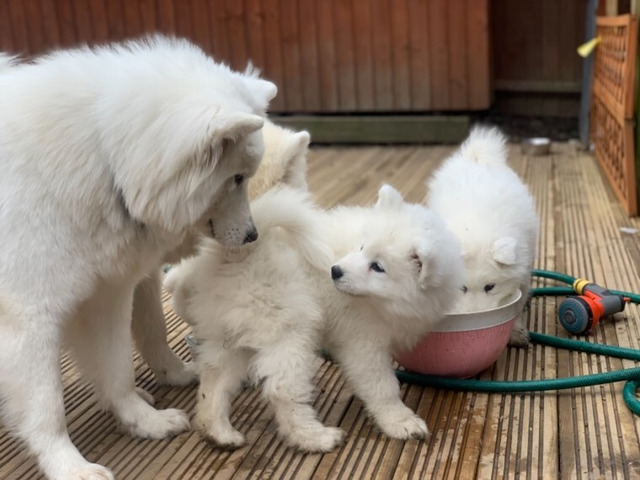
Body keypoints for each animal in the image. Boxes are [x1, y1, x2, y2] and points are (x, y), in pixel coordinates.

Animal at [0, 35, 276, 478]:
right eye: (236, 178)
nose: (252, 236)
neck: (104, 157)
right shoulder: (30, 318)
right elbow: (47, 407)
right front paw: (68, 465)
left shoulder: (107, 297)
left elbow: (119, 371)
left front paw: (142, 422)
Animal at [424, 126, 540, 344]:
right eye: (461, 288)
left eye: (490, 287)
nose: (474, 315)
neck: (474, 230)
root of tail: (475, 157)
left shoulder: (523, 274)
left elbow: (516, 306)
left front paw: (516, 333)